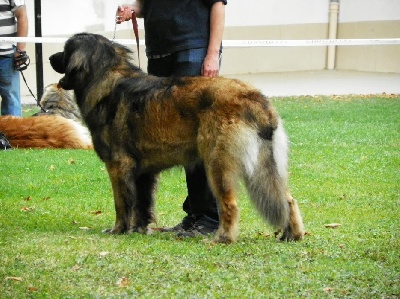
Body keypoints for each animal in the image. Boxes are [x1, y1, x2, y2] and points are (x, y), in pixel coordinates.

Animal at [49, 32, 304, 244]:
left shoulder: (118, 165)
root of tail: (254, 98)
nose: (50, 57)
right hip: (264, 164)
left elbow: (122, 203)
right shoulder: (143, 171)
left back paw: (222, 239)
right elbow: (142, 204)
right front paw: (140, 229)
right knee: (287, 199)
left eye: (65, 50)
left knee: (229, 204)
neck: (105, 78)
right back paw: (291, 234)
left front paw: (118, 230)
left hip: (217, 164)